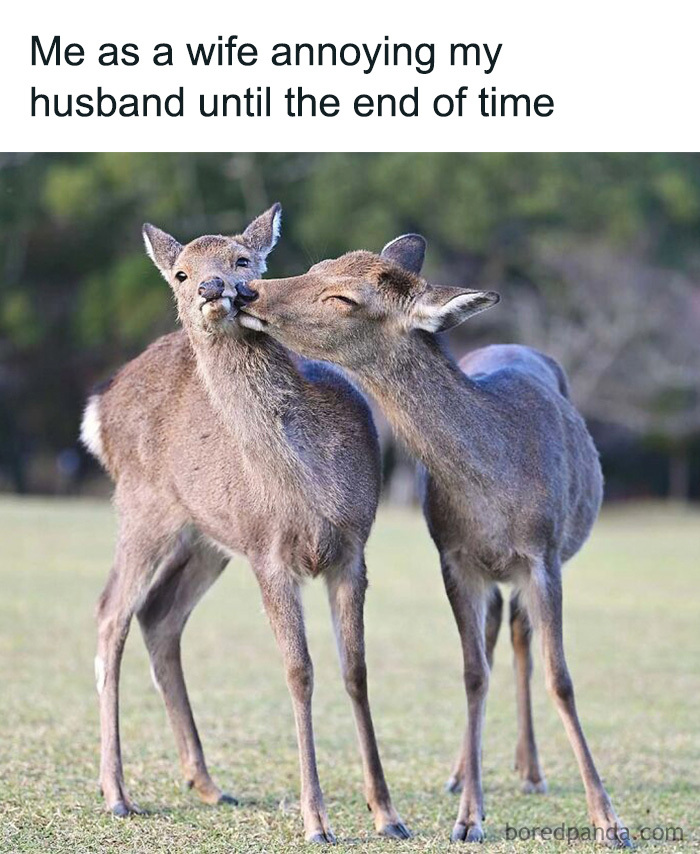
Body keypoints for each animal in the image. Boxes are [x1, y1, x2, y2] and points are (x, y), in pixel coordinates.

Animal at [79, 205, 410, 843]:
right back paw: (116, 794)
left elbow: (355, 670)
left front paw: (387, 814)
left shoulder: (352, 549)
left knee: (160, 615)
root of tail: (98, 410)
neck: (307, 485)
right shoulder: (269, 554)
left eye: (243, 260)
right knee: (111, 612)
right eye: (180, 273)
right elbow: (299, 670)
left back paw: (206, 783)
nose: (215, 289)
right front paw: (316, 822)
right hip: (143, 507)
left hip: (208, 537)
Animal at [236, 235, 631, 847]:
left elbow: (561, 678)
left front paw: (609, 822)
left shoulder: (544, 555)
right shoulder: (454, 557)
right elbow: (472, 674)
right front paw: (468, 817)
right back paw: (464, 774)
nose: (247, 291)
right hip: (488, 574)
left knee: (519, 637)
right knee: (495, 638)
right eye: (319, 265)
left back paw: (532, 772)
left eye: (344, 297)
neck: (496, 489)